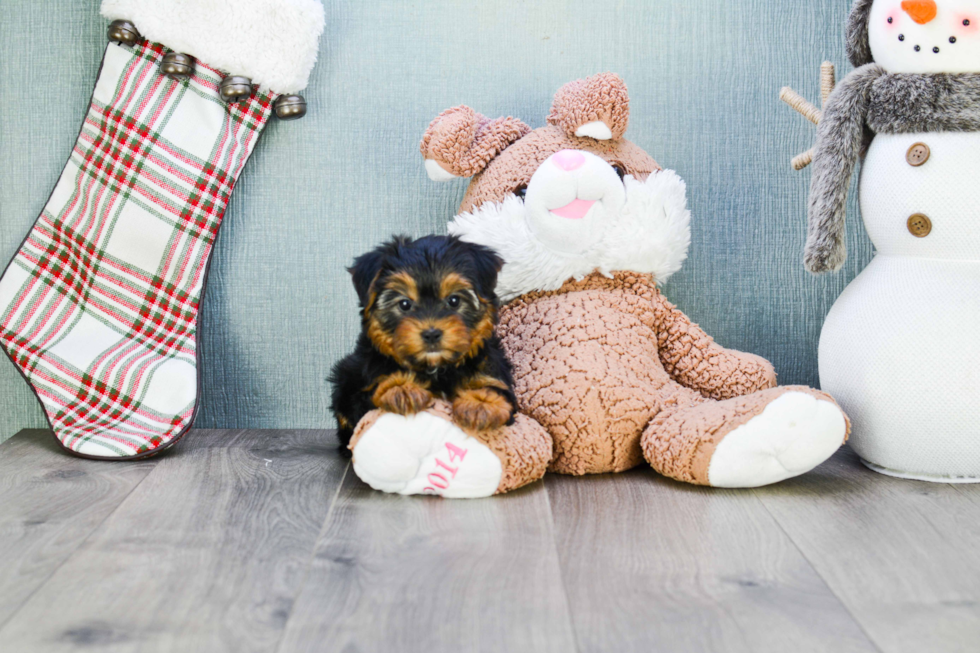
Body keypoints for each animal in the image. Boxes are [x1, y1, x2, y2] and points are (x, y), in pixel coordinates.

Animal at [330, 236, 516, 454]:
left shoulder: (492, 366)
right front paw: (402, 387)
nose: (431, 334)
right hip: (345, 377)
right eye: (404, 304)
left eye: (454, 300)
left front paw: (480, 403)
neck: (436, 368)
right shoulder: (361, 391)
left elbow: (494, 386)